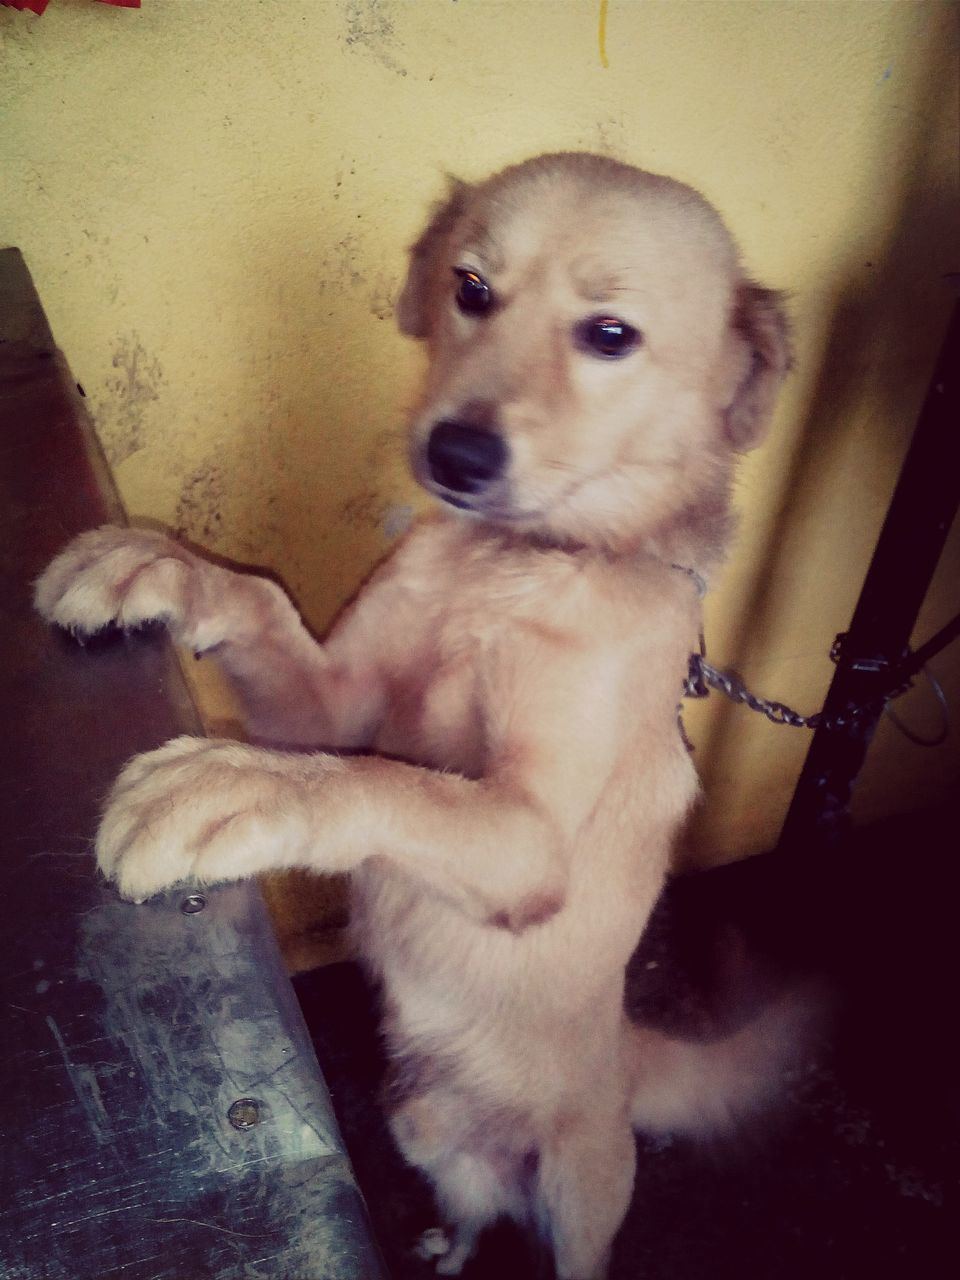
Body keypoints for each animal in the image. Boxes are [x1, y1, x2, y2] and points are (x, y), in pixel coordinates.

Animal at [35, 154, 788, 1274]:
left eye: (610, 333)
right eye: (472, 286)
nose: (455, 455)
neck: (510, 564)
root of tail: (624, 1060)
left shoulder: (530, 842)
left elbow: (383, 786)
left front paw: (219, 783)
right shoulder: (331, 702)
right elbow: (256, 604)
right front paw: (148, 564)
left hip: (580, 1194)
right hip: (417, 1122)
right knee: (474, 1208)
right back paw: (445, 1243)